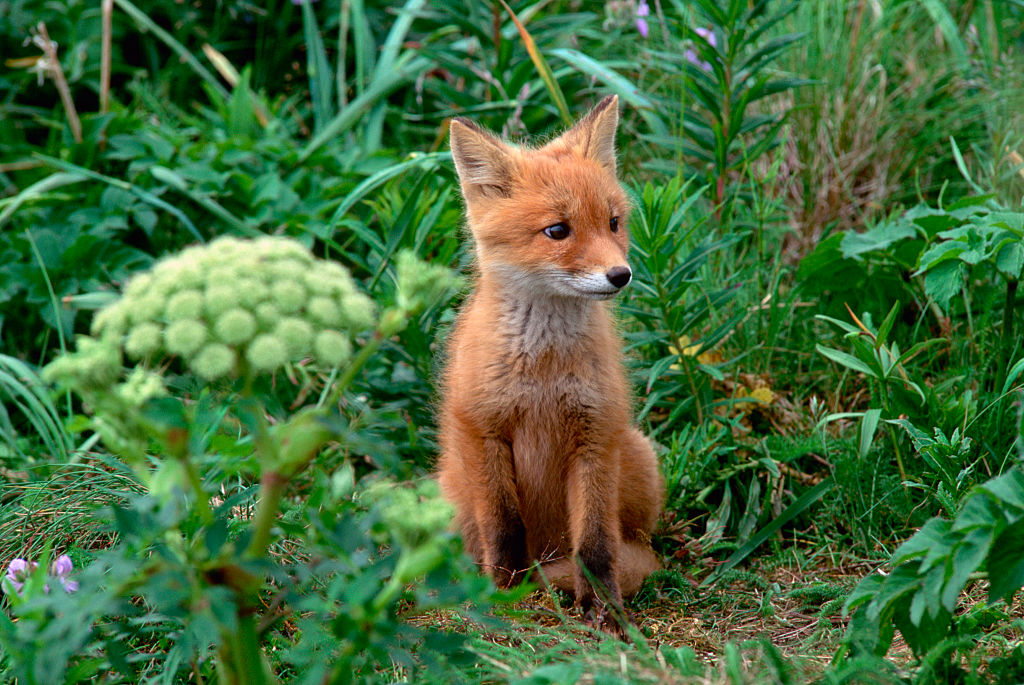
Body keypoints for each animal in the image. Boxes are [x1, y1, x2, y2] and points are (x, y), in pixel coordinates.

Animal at [434, 96, 663, 630]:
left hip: (638, 455)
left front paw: (605, 612)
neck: (543, 372)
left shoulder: (595, 435)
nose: (620, 275)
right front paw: (502, 597)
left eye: (613, 222)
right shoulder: (483, 431)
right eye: (557, 231)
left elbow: (596, 544)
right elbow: (503, 528)